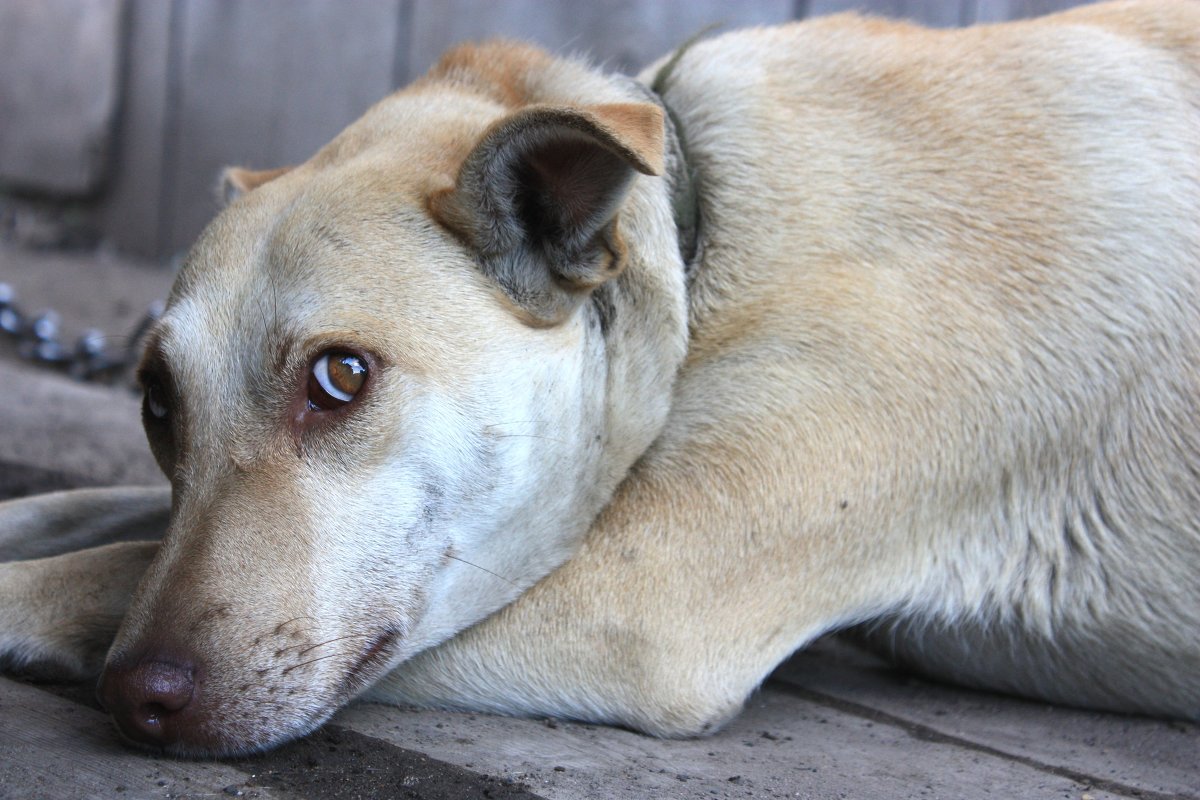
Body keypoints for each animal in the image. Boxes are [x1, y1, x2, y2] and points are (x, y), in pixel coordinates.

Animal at [0, 0, 1195, 758]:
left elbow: (115, 563)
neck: (696, 229)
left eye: (340, 377)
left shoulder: (633, 603)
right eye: (157, 402)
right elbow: (110, 514)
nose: (137, 700)